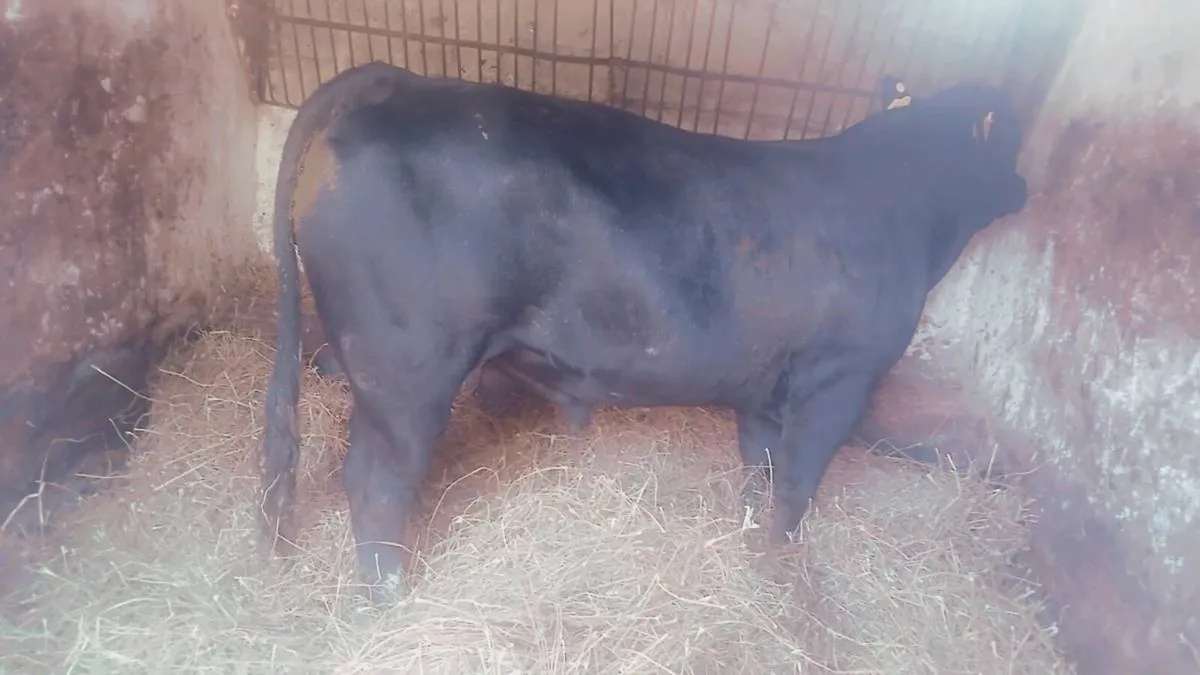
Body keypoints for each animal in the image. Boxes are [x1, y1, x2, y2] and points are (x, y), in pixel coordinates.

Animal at [259, 61, 1028, 599]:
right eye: (1012, 138)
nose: (1026, 187)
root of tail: (401, 81)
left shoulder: (766, 385)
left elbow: (760, 467)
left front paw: (748, 542)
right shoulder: (841, 377)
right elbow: (797, 483)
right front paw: (782, 565)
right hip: (404, 367)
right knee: (375, 480)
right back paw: (390, 593)